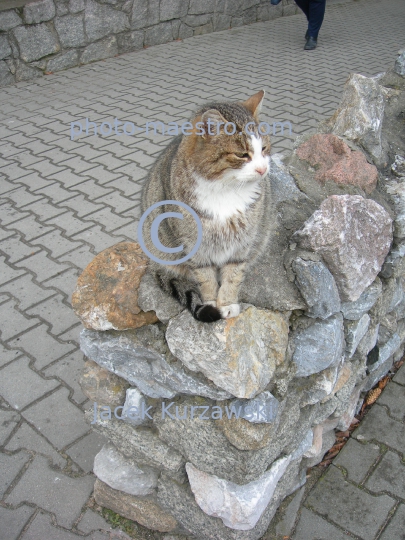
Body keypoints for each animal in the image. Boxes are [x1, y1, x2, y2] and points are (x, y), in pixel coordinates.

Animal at [140, 90, 270, 322]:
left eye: (263, 148)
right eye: (242, 154)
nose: (263, 169)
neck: (226, 191)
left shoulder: (242, 244)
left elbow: (233, 274)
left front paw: (227, 303)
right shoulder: (194, 246)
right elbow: (206, 278)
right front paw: (211, 303)